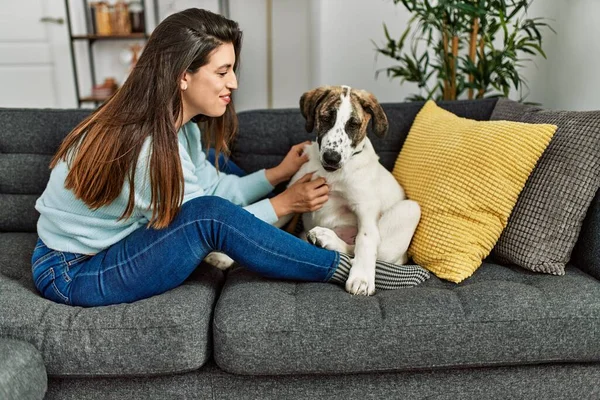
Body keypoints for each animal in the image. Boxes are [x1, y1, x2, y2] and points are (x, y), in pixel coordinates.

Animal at [288, 84, 422, 296]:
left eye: (353, 125)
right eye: (326, 118)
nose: (332, 158)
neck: (332, 175)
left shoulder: (366, 208)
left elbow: (365, 240)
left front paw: (362, 278)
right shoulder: (293, 192)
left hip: (410, 209)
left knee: (364, 248)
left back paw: (327, 239)